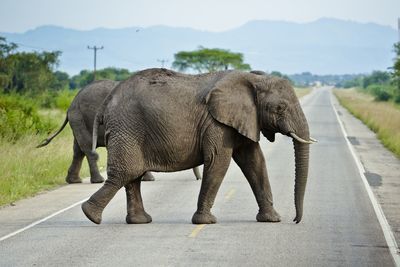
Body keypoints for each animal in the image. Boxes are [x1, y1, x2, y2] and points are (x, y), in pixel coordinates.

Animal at [38, 79, 203, 184]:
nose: (198, 179)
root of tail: (70, 105)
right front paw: (149, 179)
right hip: (80, 118)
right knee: (88, 149)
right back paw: (98, 181)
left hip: (79, 120)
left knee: (78, 151)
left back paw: (74, 181)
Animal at [82, 68, 316, 226]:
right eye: (280, 108)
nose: (295, 220)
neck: (253, 78)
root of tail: (107, 100)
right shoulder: (216, 123)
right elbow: (219, 160)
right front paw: (206, 222)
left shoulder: (244, 119)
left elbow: (254, 161)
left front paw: (272, 220)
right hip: (127, 128)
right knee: (125, 173)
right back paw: (90, 215)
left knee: (133, 176)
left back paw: (139, 221)